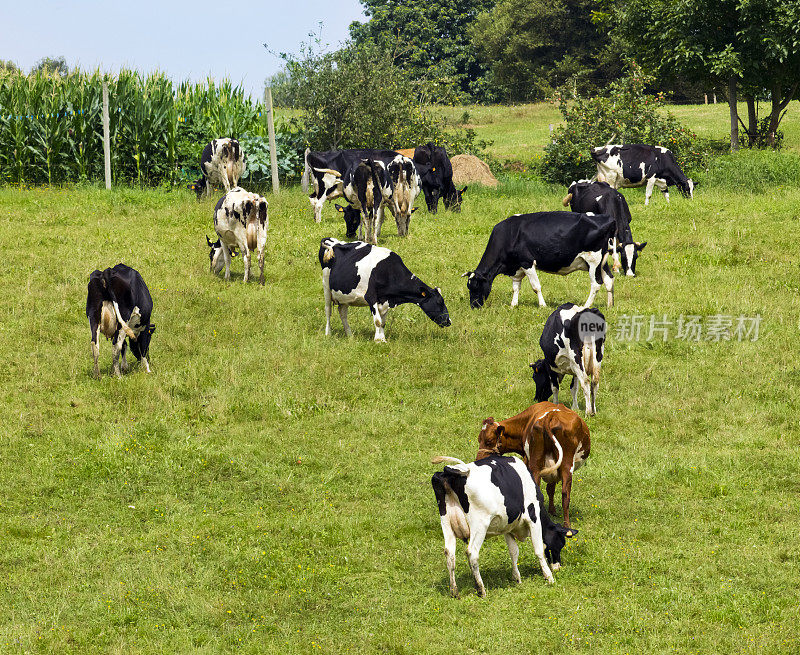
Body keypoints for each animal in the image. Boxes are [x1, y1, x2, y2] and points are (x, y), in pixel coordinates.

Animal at [322, 240, 454, 344]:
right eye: (439, 302)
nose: (449, 321)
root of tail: (333, 242)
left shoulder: (385, 300)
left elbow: (383, 322)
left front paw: (382, 338)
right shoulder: (371, 297)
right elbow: (378, 321)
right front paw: (378, 340)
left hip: (344, 297)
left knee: (342, 313)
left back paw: (350, 335)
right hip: (326, 286)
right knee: (328, 311)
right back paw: (328, 333)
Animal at [432, 456, 576, 600]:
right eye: (560, 544)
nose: (558, 567)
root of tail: (450, 472)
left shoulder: (508, 527)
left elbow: (514, 551)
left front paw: (517, 578)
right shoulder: (533, 517)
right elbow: (539, 550)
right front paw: (549, 577)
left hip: (446, 523)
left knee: (449, 553)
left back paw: (454, 591)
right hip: (479, 524)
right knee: (472, 552)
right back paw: (481, 590)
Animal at [460, 213, 616, 310]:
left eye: (476, 286)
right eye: (468, 287)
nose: (474, 306)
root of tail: (608, 218)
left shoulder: (527, 262)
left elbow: (536, 286)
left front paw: (542, 305)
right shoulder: (517, 267)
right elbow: (515, 287)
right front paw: (513, 305)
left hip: (593, 261)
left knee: (596, 284)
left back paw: (585, 306)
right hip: (602, 262)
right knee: (609, 279)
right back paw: (610, 305)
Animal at [478, 400, 592, 532]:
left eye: (489, 441)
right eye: (479, 439)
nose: (478, 459)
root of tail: (551, 415)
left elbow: (550, 488)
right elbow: (551, 488)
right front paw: (552, 510)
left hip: (539, 464)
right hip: (565, 464)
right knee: (565, 493)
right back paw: (567, 526)